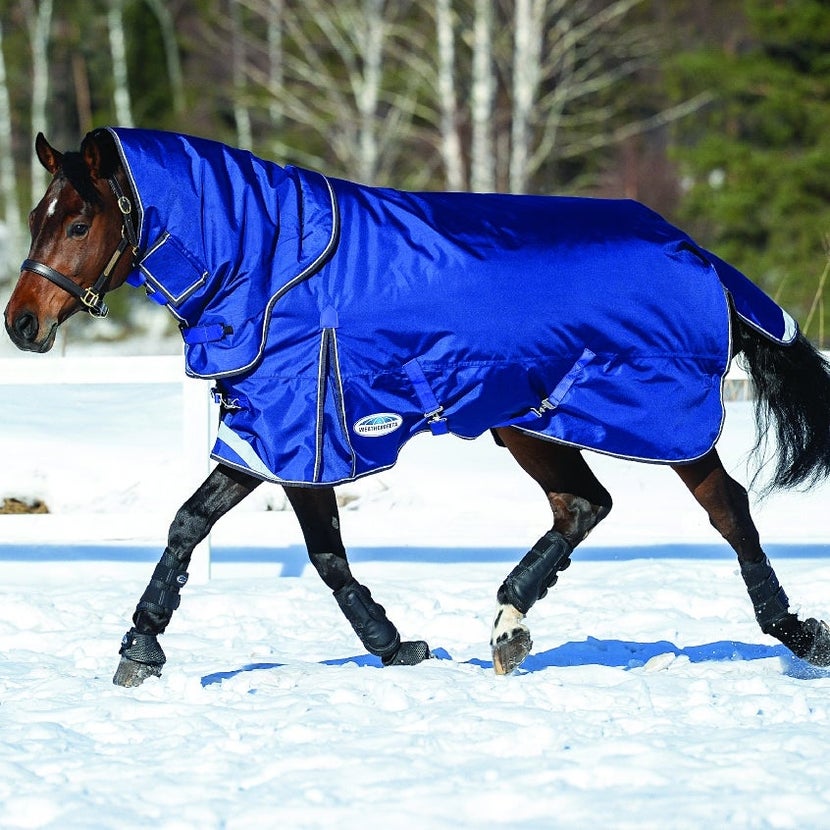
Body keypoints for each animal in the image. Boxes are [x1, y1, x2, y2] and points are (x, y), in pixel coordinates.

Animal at [4, 130, 830, 688]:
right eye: (38, 215)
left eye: (77, 223)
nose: (22, 323)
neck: (270, 264)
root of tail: (697, 253)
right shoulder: (300, 435)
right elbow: (323, 553)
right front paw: (393, 642)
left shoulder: (283, 424)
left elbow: (191, 523)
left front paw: (139, 649)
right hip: (530, 419)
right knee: (583, 505)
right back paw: (508, 625)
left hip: (662, 421)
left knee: (727, 508)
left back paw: (794, 632)